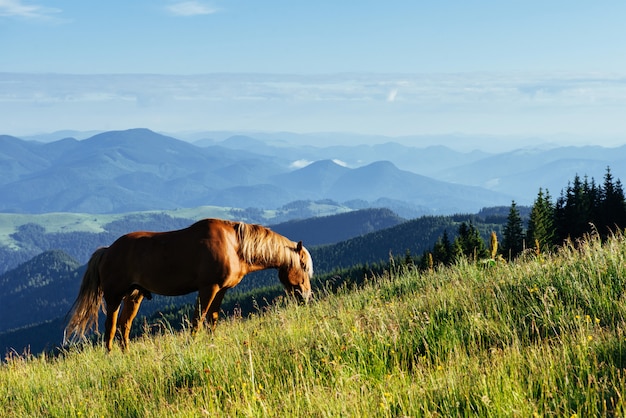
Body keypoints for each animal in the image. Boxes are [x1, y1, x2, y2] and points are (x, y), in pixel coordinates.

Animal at [64, 217, 312, 352]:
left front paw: (212, 342)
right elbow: (197, 320)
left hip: (134, 295)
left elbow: (212, 319)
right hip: (114, 296)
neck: (234, 246)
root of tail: (107, 250)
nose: (306, 296)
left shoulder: (221, 290)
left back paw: (126, 355)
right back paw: (111, 355)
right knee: (111, 327)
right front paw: (192, 344)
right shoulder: (208, 288)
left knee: (124, 325)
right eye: (303, 266)